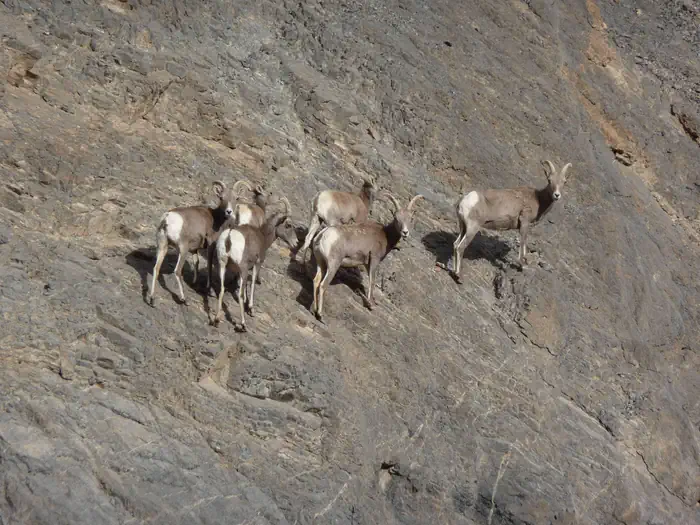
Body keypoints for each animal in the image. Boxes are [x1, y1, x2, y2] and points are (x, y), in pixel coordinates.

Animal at [211, 197, 297, 331]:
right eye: (288, 225)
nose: (296, 243)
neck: (262, 236)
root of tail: (229, 238)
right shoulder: (257, 264)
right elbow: (251, 284)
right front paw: (251, 309)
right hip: (243, 269)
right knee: (240, 294)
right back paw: (243, 325)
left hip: (222, 265)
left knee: (221, 289)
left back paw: (216, 320)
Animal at [310, 192, 423, 322]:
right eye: (396, 218)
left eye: (410, 219)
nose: (405, 232)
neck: (386, 235)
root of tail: (322, 235)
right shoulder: (374, 259)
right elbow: (372, 280)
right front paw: (370, 305)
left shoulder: (366, 263)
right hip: (334, 264)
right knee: (323, 285)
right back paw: (320, 315)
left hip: (321, 264)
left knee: (316, 281)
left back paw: (314, 310)